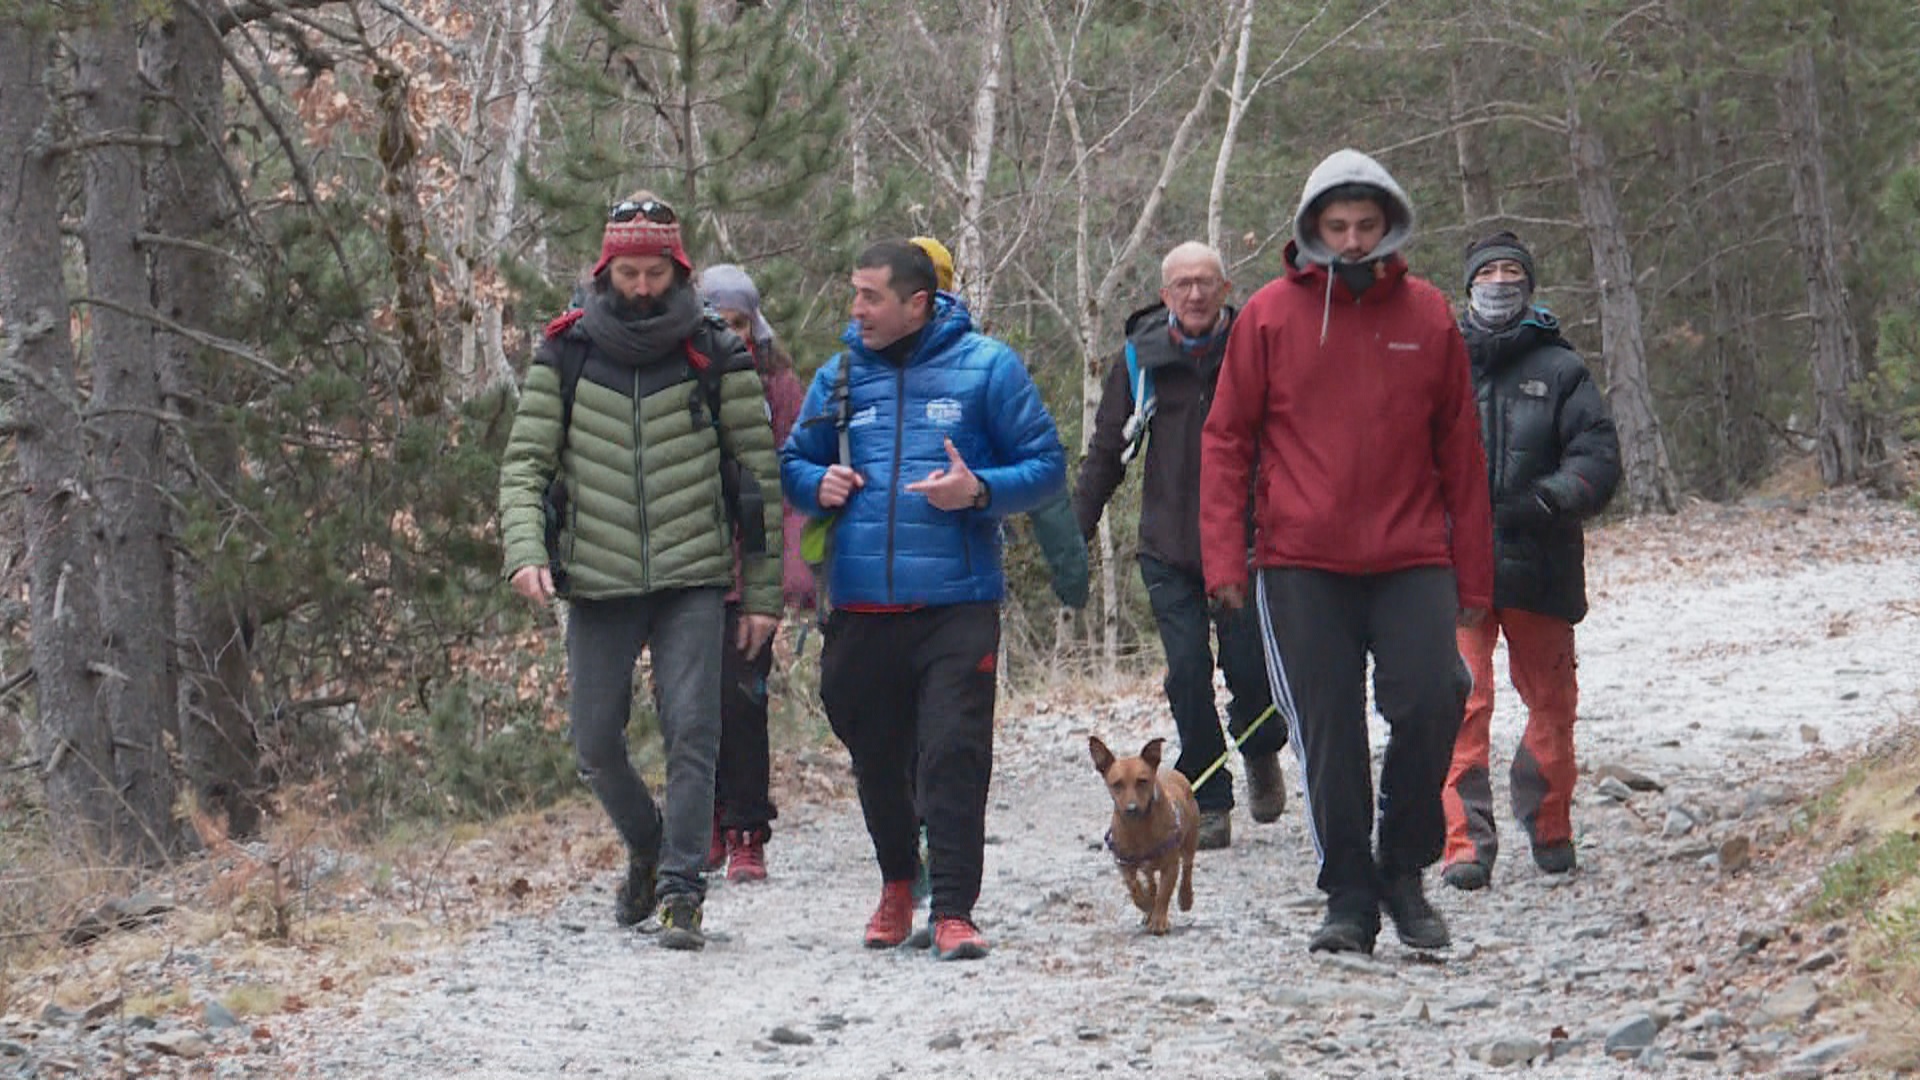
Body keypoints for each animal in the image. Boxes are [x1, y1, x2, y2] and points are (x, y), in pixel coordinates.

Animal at [1090, 734, 1190, 930]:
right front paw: (1145, 904)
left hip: (1191, 840)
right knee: (1150, 881)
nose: (1131, 808)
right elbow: (1133, 887)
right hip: (1147, 866)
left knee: (1188, 869)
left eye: (1142, 781)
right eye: (1117, 784)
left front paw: (1159, 920)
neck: (1138, 828)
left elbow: (1164, 893)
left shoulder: (1171, 865)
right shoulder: (1123, 863)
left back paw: (1185, 897)